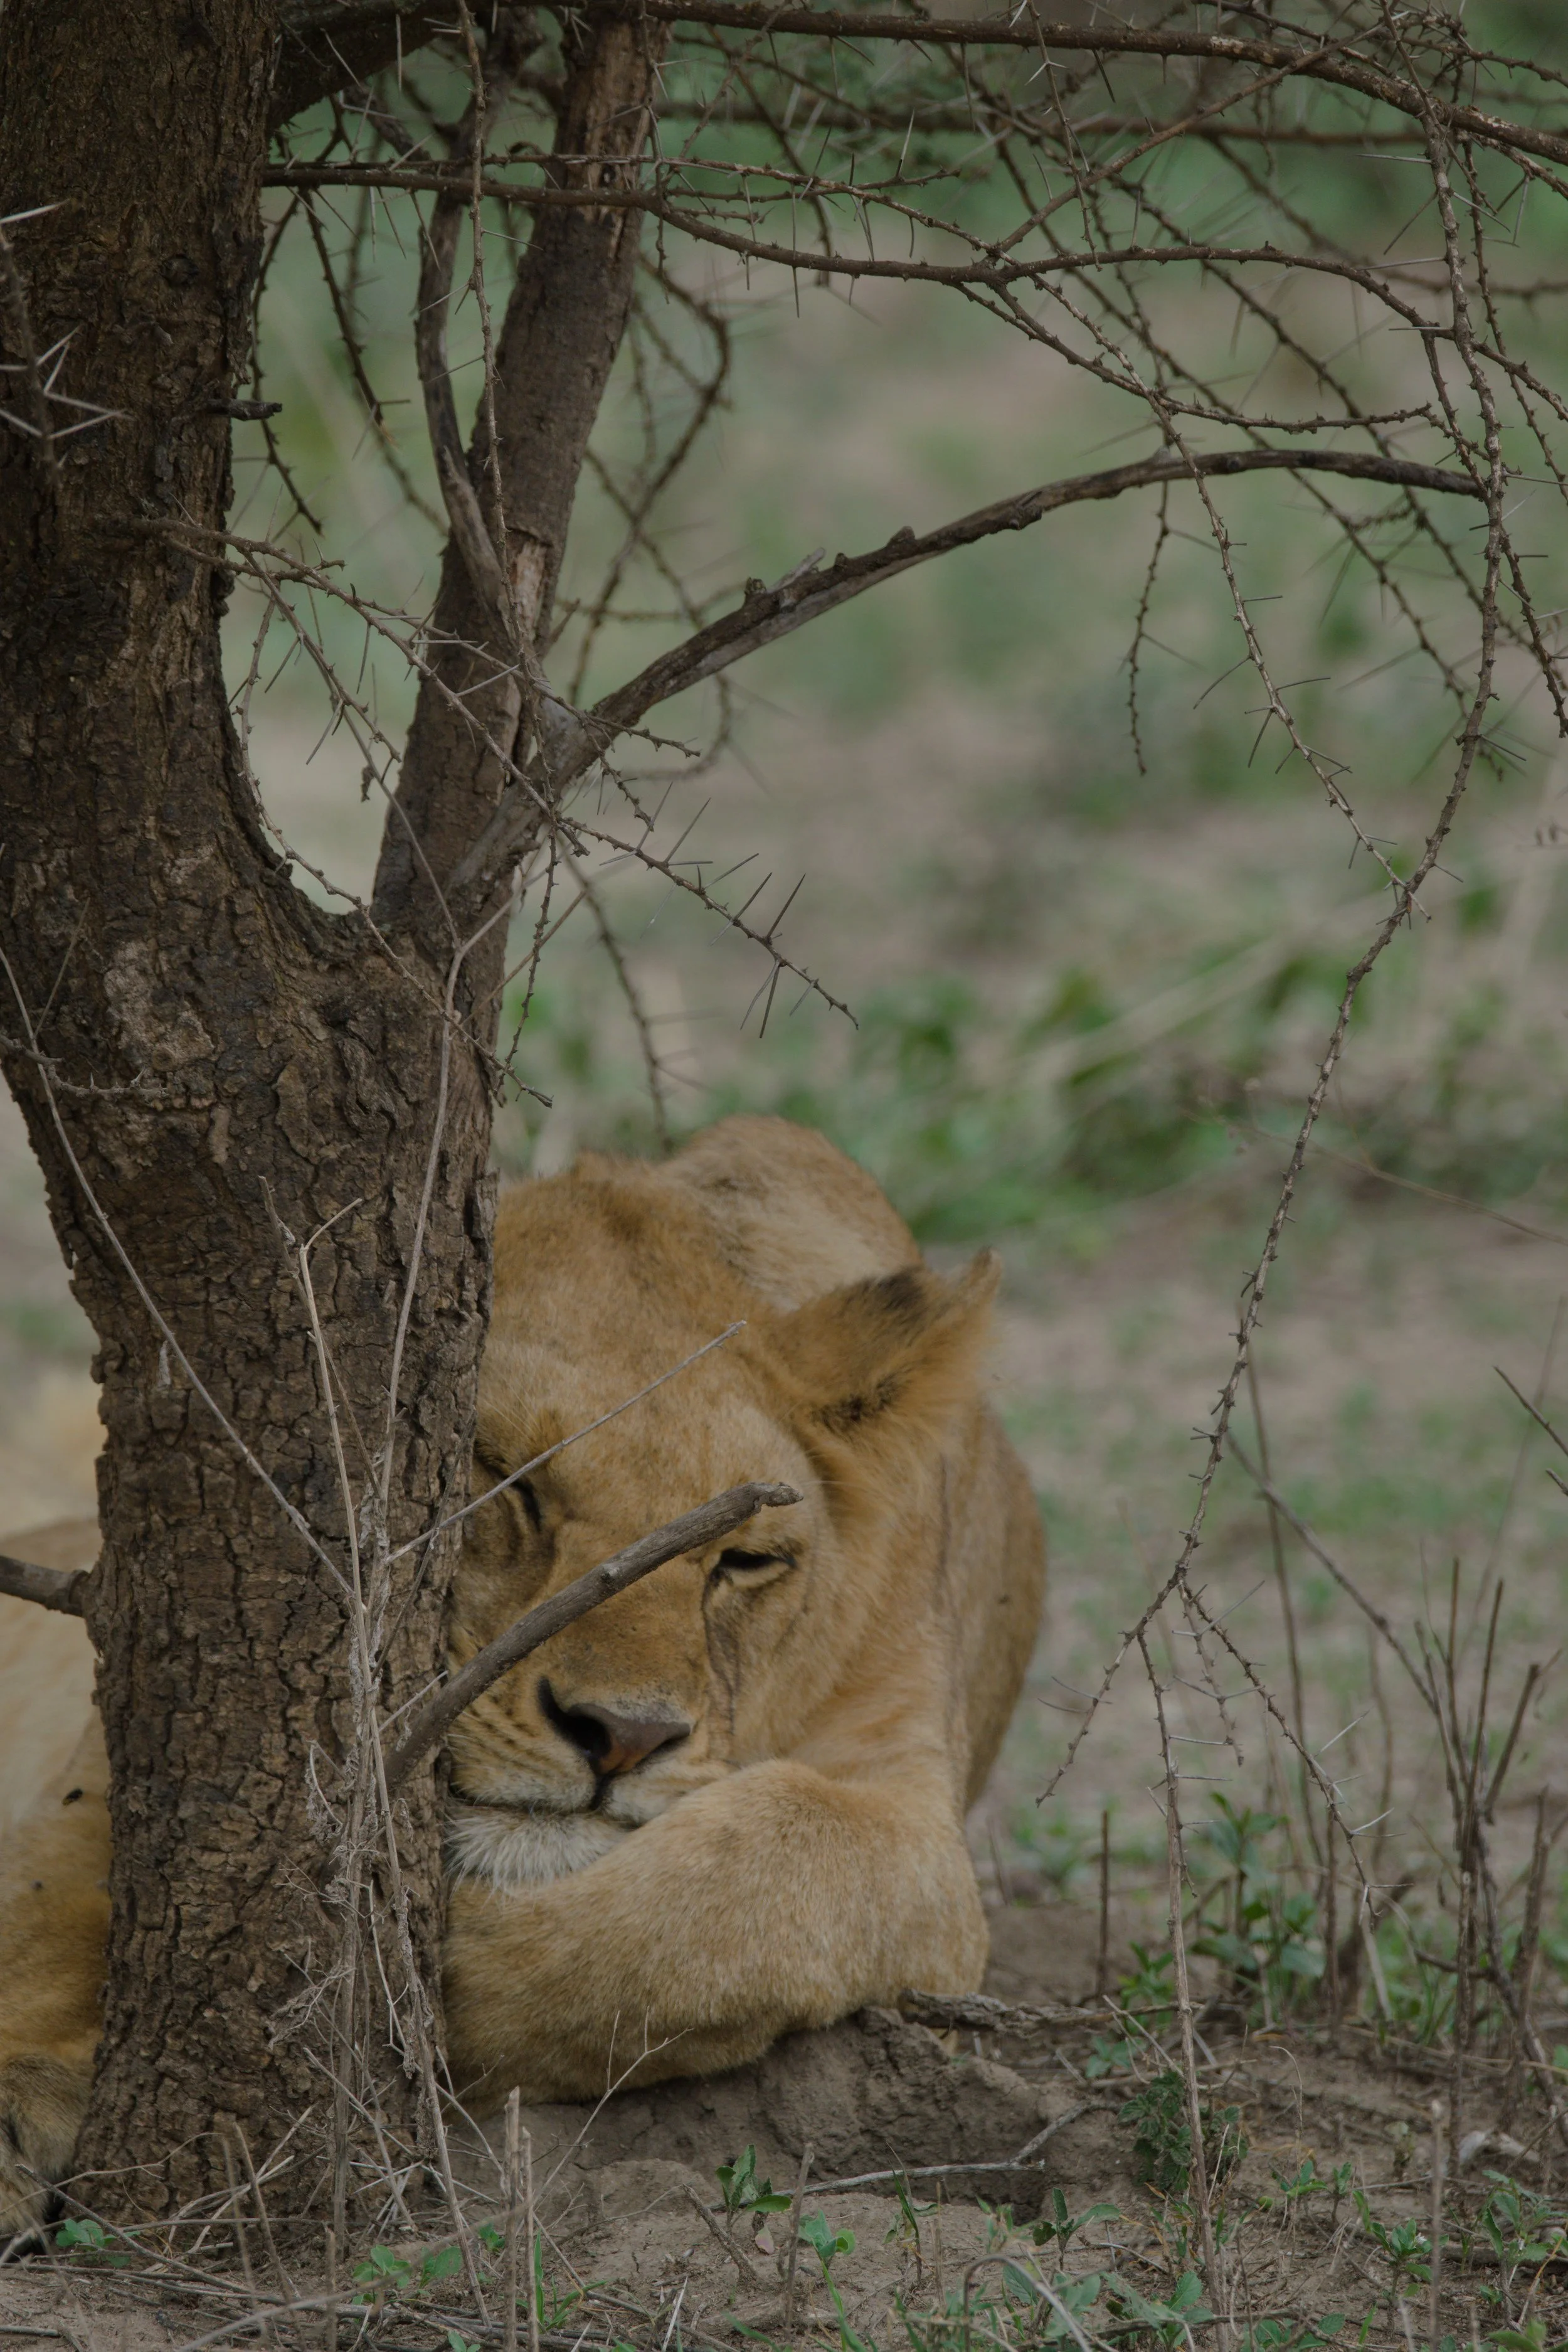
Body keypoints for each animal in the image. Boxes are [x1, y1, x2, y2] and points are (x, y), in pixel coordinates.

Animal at [0, 1115, 1045, 2236]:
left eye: (746, 1557)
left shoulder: (916, 1811)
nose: (622, 1737)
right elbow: (51, 1911)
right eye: (512, 1486)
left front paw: (417, 1980)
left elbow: (748, 1880)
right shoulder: (122, 1745)